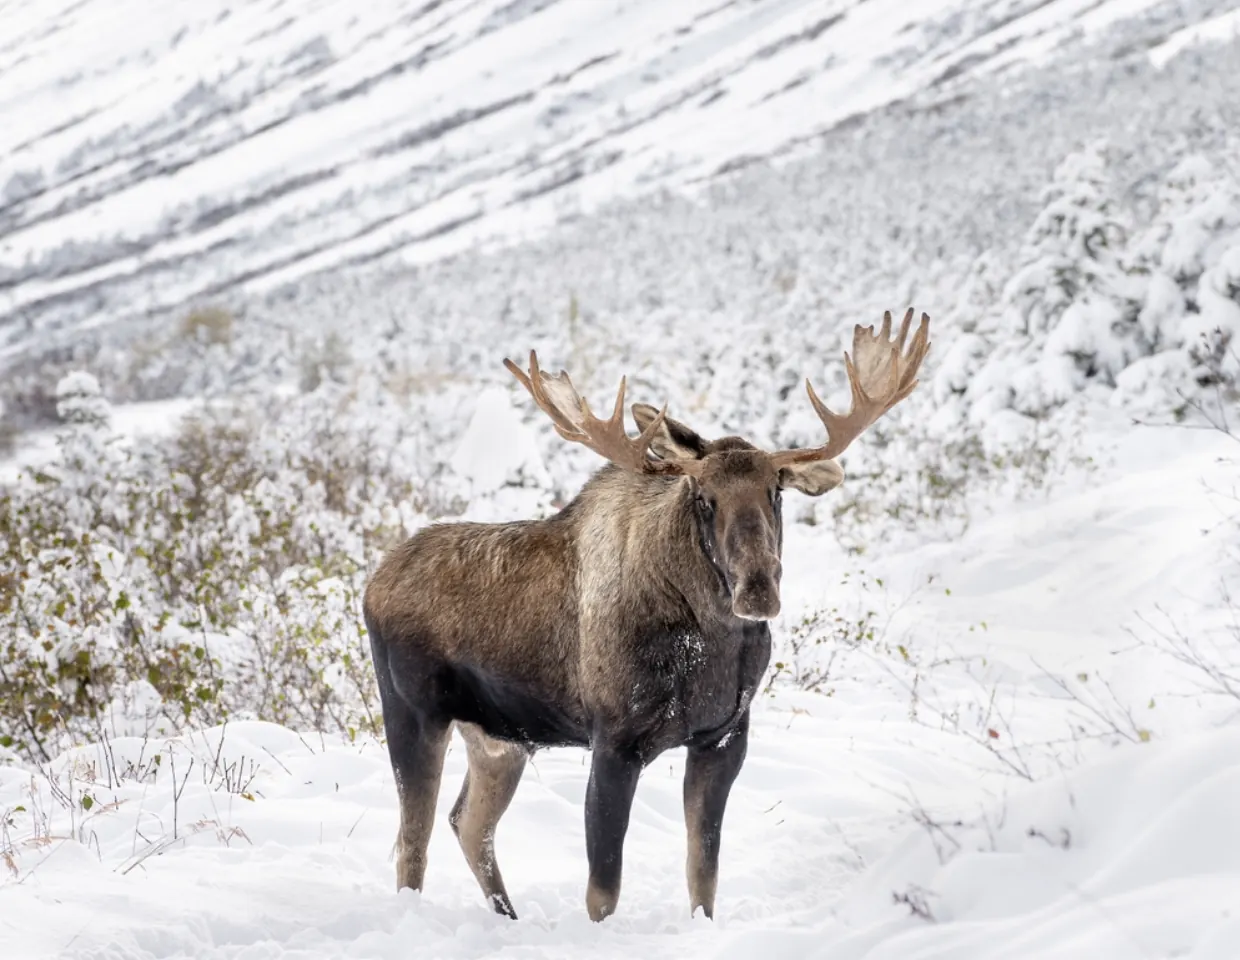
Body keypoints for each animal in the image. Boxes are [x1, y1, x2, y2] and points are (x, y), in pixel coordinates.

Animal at [363, 308, 931, 923]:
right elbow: (603, 889)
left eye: (776, 492)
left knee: (468, 824)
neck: (712, 646)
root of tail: (372, 583)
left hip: (499, 738)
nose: (757, 589)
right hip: (413, 713)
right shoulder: (614, 741)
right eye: (703, 496)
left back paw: (509, 918)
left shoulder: (724, 737)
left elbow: (702, 873)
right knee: (412, 844)